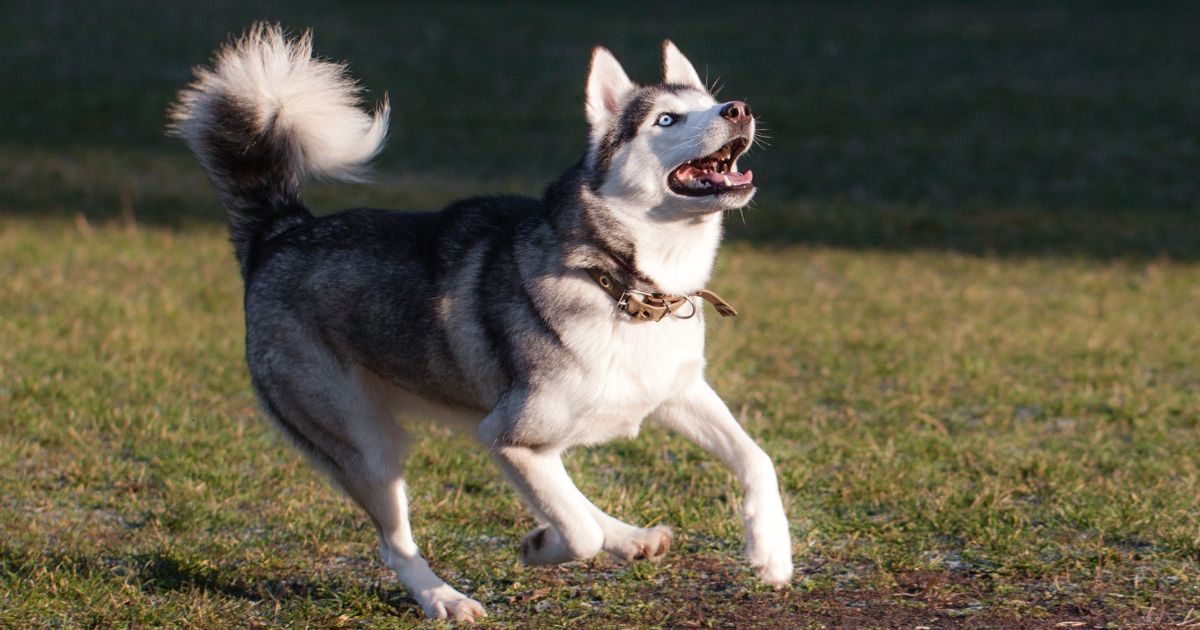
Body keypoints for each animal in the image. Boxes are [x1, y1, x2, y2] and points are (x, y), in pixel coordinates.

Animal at [166, 24, 787, 619]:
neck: (625, 286)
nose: (738, 109)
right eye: (667, 119)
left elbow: (757, 458)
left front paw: (773, 553)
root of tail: (280, 232)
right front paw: (541, 546)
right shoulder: (508, 438)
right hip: (365, 446)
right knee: (396, 544)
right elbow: (577, 532)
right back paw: (445, 598)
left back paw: (631, 538)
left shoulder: (675, 393)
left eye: (710, 102)